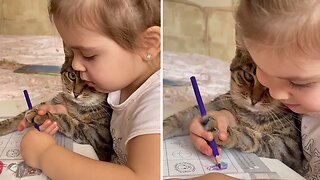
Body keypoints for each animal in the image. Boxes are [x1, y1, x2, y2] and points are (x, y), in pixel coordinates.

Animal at [164, 48, 304, 172]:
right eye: (248, 76)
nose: (254, 100)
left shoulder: (288, 147)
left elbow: (250, 135)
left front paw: (225, 133)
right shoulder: (212, 106)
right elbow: (179, 117)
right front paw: (164, 128)